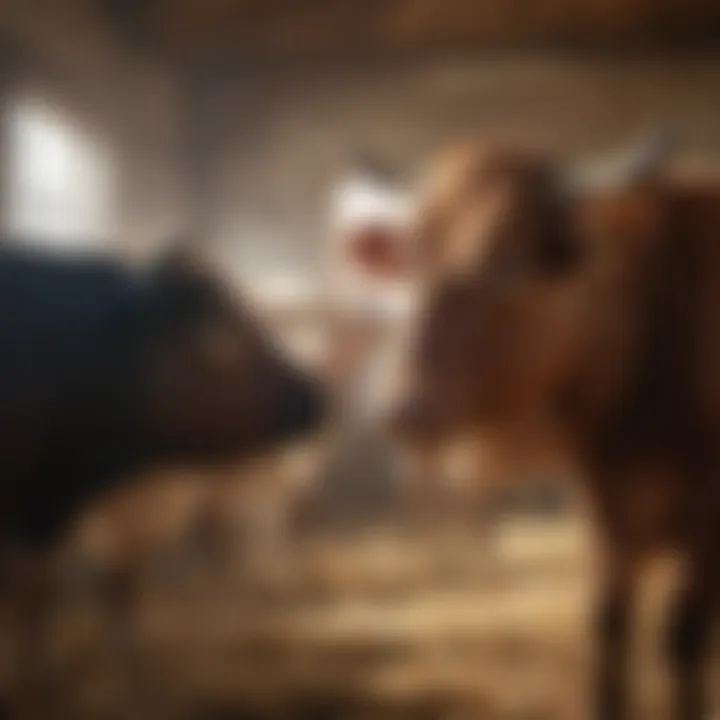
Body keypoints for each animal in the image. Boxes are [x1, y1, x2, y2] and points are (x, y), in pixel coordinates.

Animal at [344, 131, 720, 720]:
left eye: (508, 265)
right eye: (414, 265)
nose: (403, 409)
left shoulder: (705, 521)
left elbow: (684, 635)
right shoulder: (608, 513)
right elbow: (608, 626)